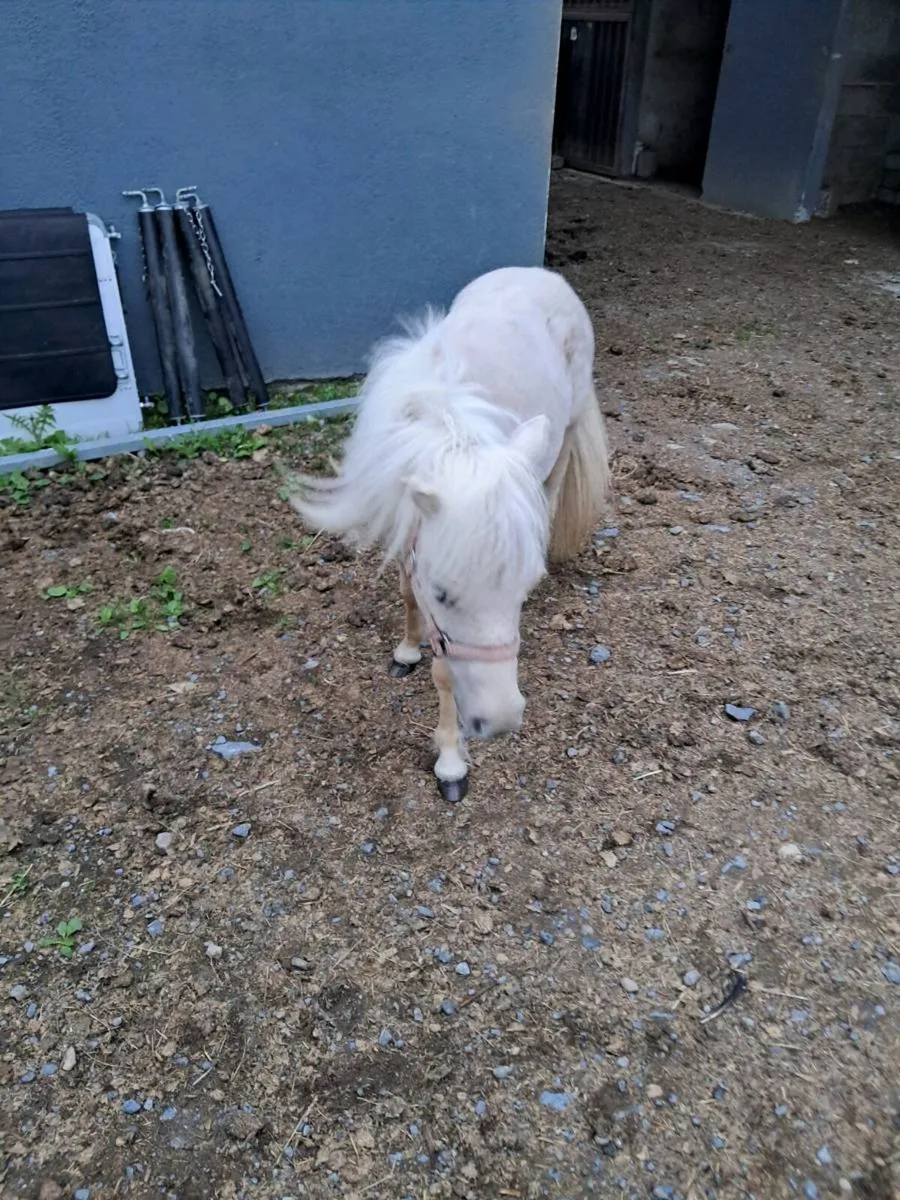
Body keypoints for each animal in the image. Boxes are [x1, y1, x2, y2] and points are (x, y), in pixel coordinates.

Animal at [289, 266, 610, 801]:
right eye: (443, 593)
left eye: (519, 591)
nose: (501, 722)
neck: (446, 432)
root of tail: (541, 273)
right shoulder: (410, 530)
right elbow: (409, 599)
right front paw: (406, 649)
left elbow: (446, 675)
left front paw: (450, 761)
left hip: (562, 433)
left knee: (550, 488)